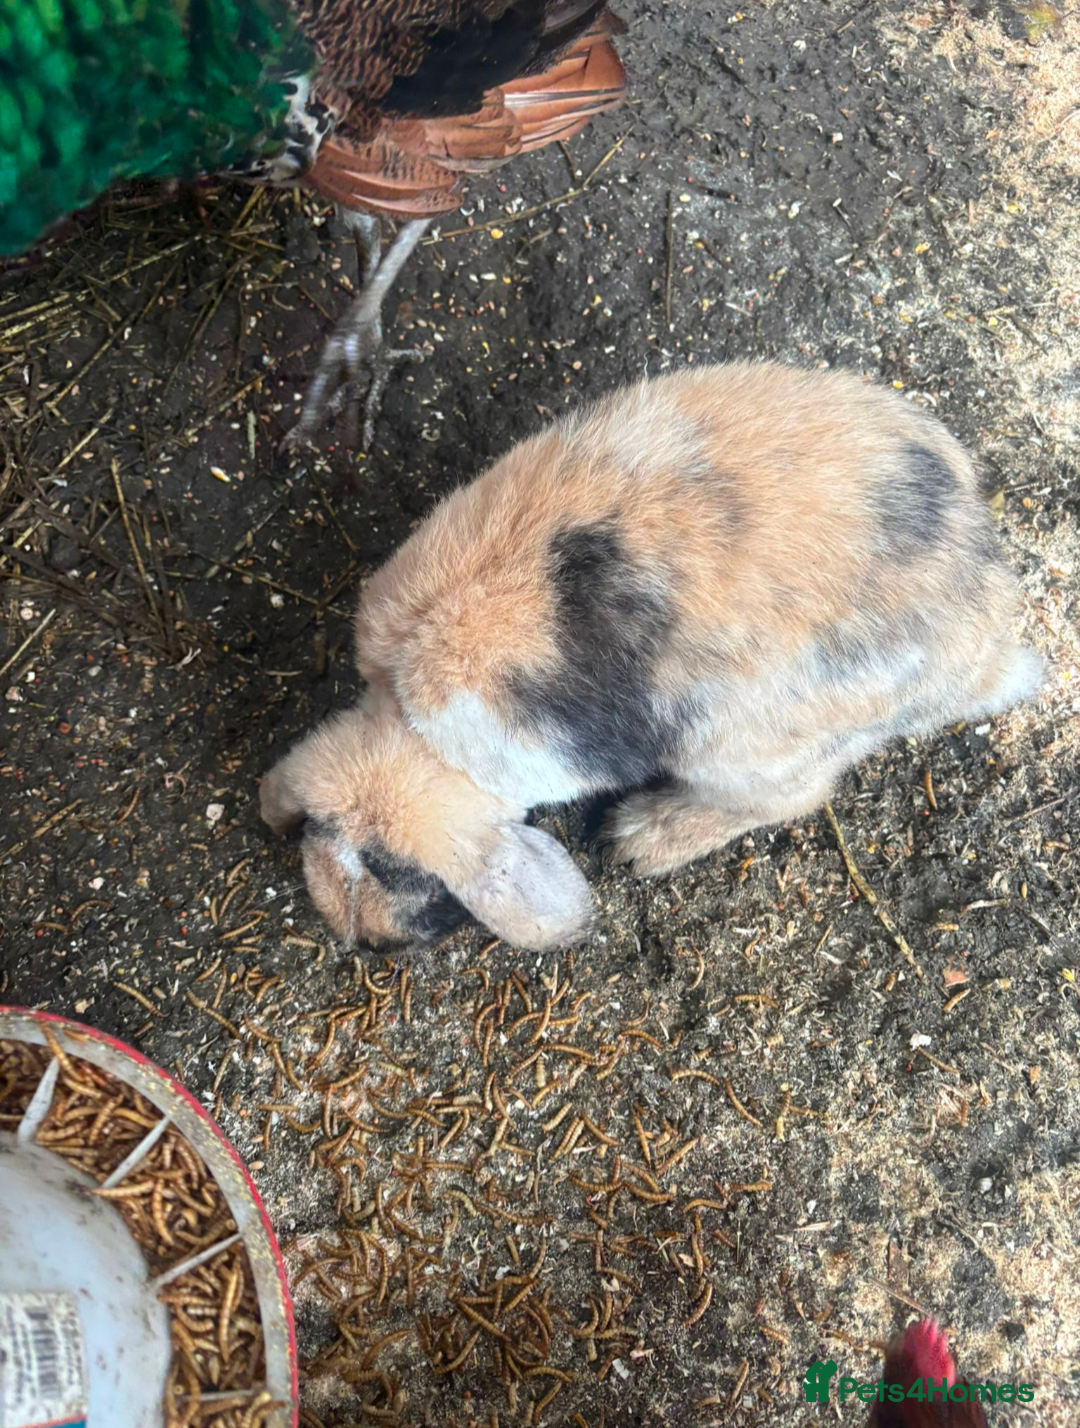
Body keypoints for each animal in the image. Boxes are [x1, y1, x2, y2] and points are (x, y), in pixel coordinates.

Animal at [260, 361, 1043, 951]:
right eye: (324, 837)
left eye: (398, 875)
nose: (361, 940)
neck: (414, 734)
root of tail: (984, 637)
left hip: (743, 746)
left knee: (790, 797)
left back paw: (641, 839)